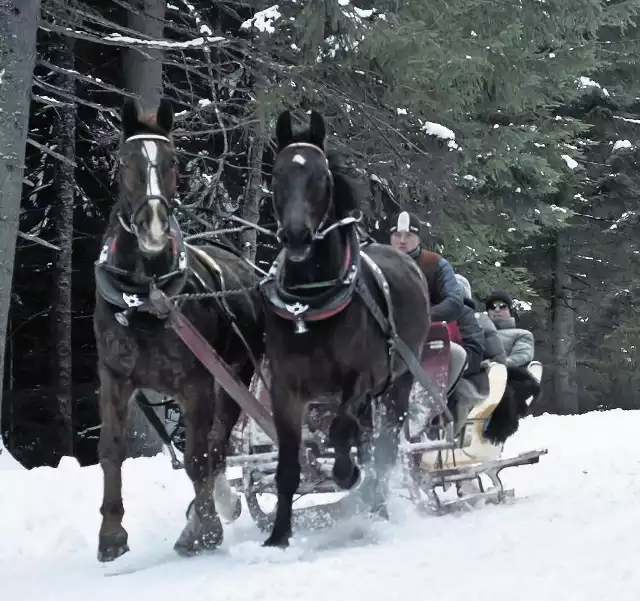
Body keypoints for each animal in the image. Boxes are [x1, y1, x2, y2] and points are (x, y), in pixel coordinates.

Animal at [92, 96, 262, 560]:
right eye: (124, 160)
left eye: (172, 160)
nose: (152, 225)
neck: (146, 298)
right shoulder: (115, 378)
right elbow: (111, 451)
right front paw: (111, 535)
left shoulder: (196, 385)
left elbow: (197, 459)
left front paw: (204, 532)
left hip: (234, 378)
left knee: (217, 447)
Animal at [258, 110, 430, 548]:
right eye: (277, 173)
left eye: (320, 176)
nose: (296, 235)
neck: (310, 302)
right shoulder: (286, 391)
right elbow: (288, 466)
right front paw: (278, 536)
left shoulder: (361, 381)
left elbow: (339, 433)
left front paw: (346, 475)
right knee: (368, 441)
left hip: (399, 382)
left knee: (384, 447)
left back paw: (375, 503)